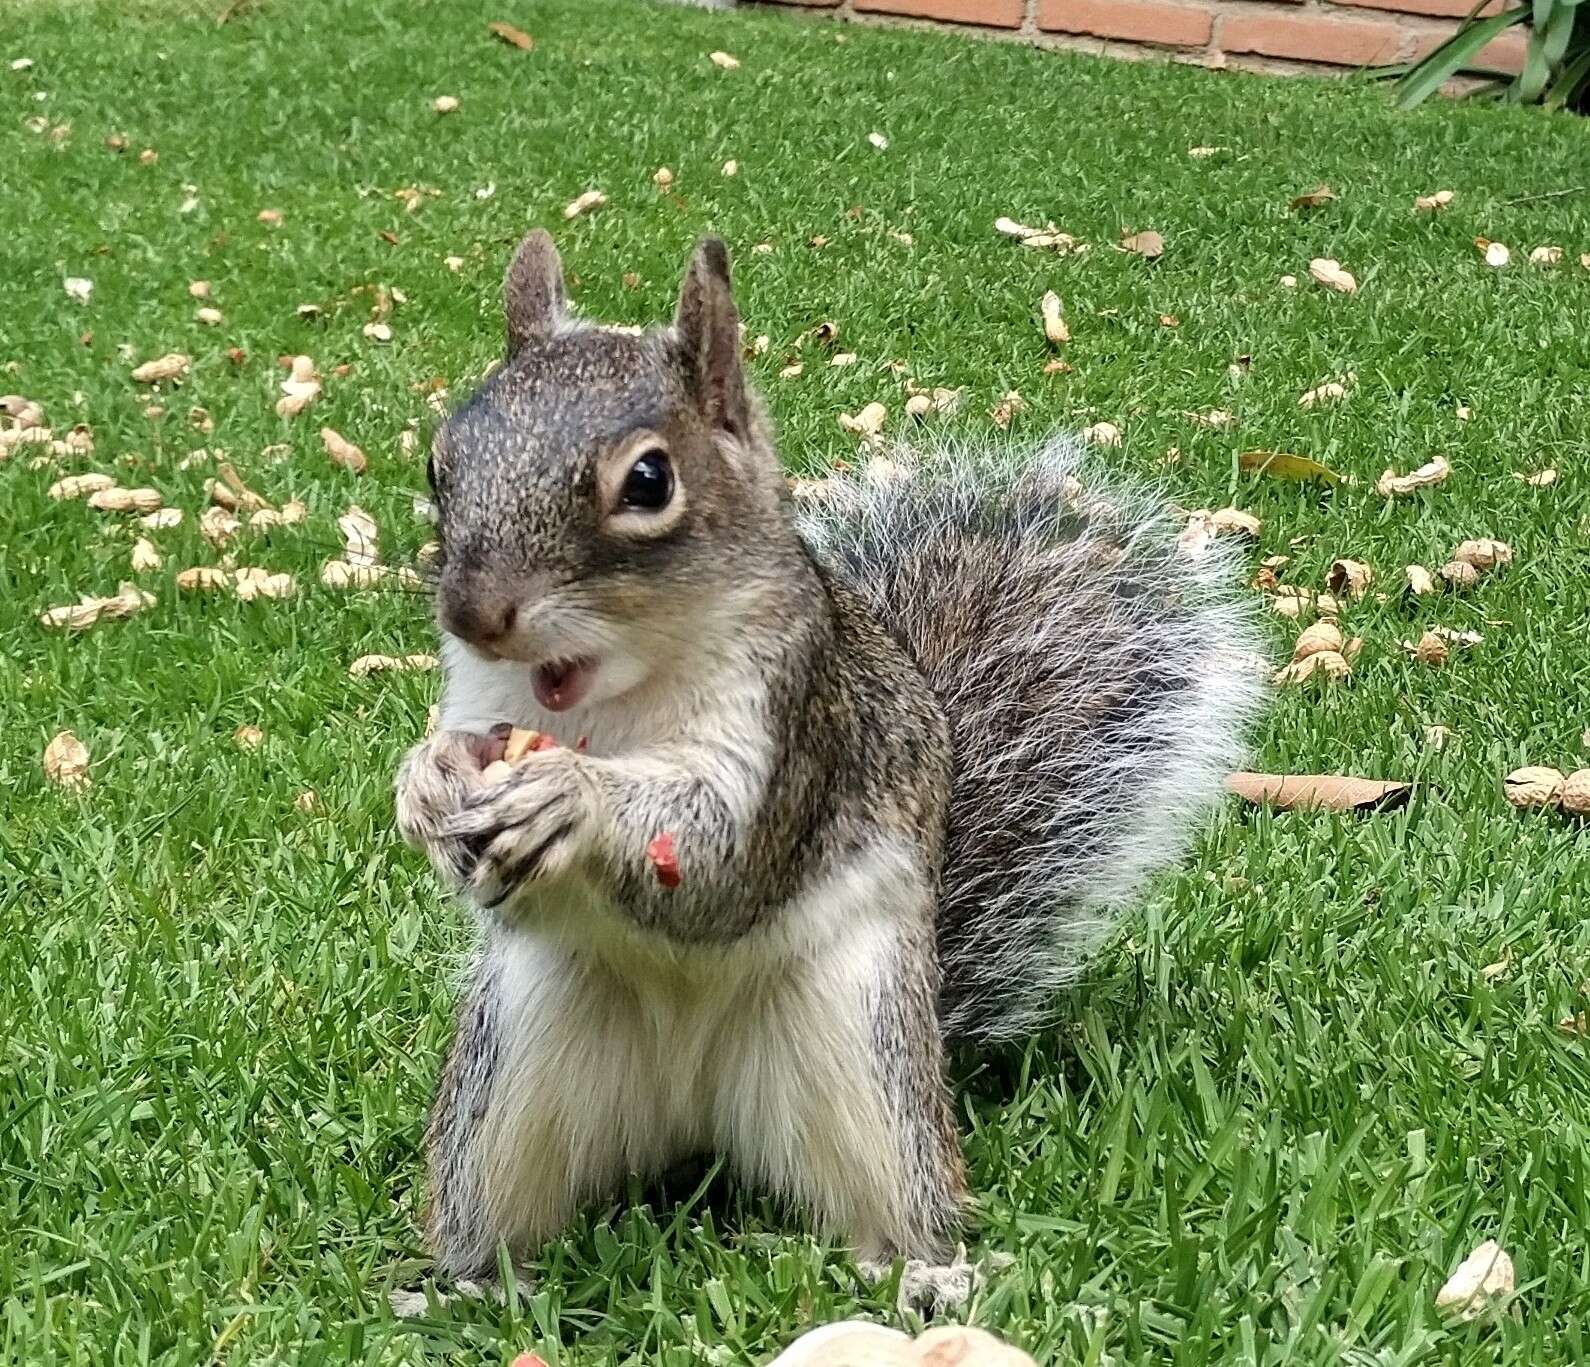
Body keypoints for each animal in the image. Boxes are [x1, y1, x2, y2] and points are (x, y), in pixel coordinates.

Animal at [391, 228, 1259, 1309]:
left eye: (649, 482)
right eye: (441, 462)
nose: (475, 612)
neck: (609, 694)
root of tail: (693, 1120)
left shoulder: (798, 727)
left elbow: (719, 865)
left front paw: (574, 800)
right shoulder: (481, 699)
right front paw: (424, 783)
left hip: (863, 1054)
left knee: (894, 1197)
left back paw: (924, 1273)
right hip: (511, 1077)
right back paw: (467, 1284)